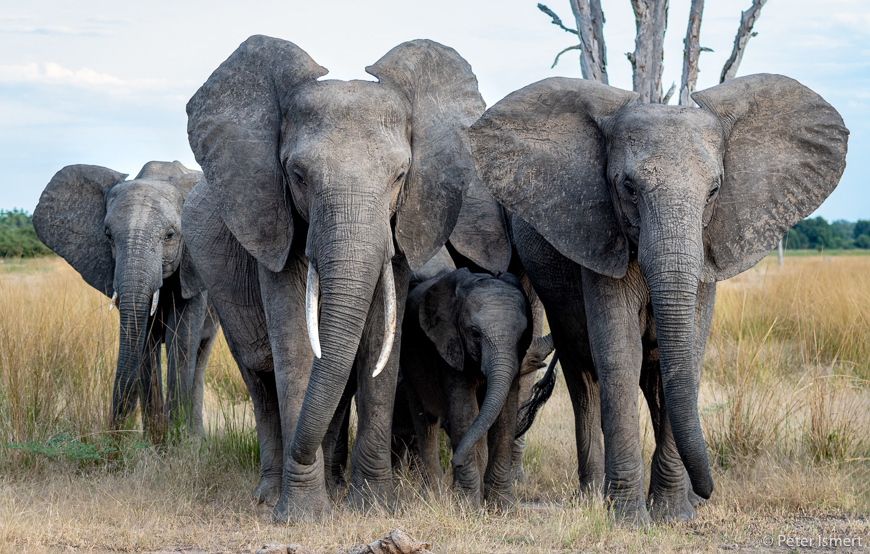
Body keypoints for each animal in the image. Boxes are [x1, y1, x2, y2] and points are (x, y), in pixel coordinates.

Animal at [33, 161, 220, 439]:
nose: (113, 439)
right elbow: (143, 342)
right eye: (108, 235)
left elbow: (181, 340)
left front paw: (178, 443)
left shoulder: (192, 270)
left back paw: (196, 439)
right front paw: (156, 442)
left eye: (170, 235)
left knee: (200, 353)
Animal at [180, 35, 485, 522]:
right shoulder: (273, 219)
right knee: (259, 380)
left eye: (400, 176)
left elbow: (379, 342)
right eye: (298, 176)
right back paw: (270, 493)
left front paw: (375, 508)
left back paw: (333, 485)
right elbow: (294, 346)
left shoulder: (400, 225)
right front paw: (302, 515)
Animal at [470, 74, 848, 523]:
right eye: (629, 188)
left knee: (652, 379)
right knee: (584, 376)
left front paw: (673, 515)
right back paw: (591, 498)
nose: (708, 490)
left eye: (714, 190)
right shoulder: (601, 237)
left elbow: (689, 355)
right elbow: (620, 355)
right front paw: (629, 519)